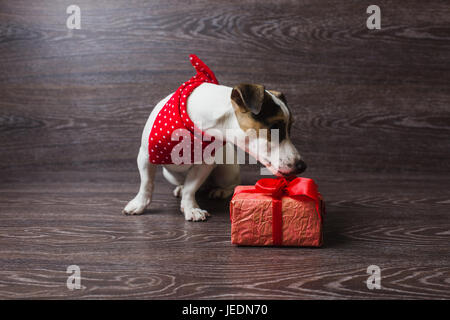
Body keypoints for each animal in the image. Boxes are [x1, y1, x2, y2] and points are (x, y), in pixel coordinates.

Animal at [123, 55, 306, 220]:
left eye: (290, 127)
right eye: (275, 127)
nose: (302, 166)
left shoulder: (205, 165)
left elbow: (191, 188)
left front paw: (190, 208)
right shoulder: (145, 155)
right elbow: (146, 183)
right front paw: (139, 204)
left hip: (226, 170)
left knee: (230, 183)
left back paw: (220, 190)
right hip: (171, 175)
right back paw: (181, 187)